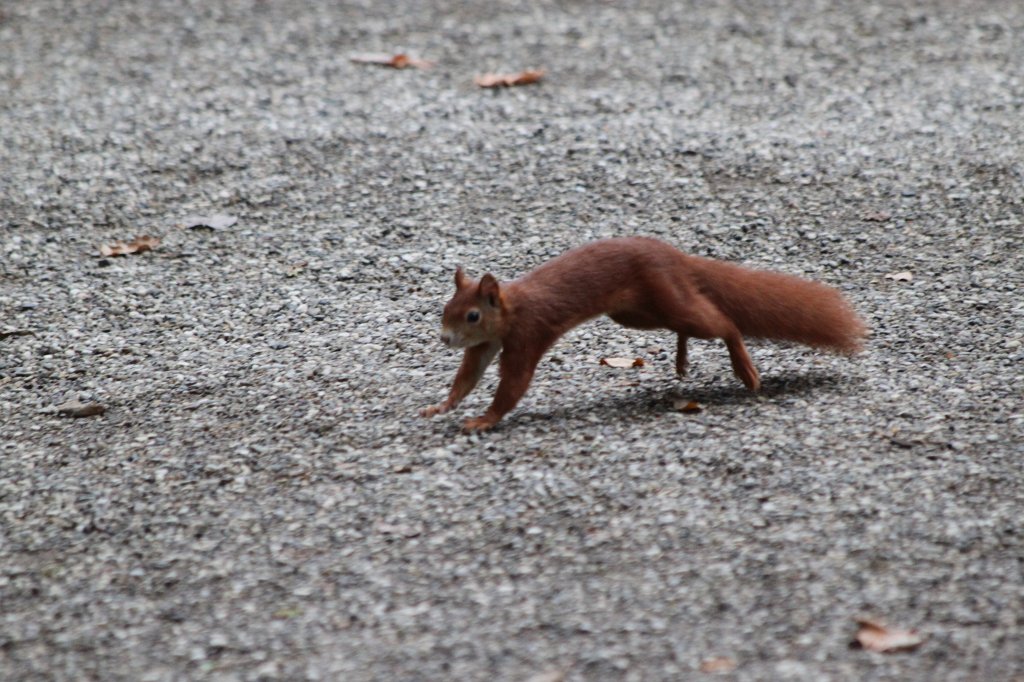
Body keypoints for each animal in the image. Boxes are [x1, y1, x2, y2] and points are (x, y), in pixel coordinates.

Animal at [421, 237, 866, 432]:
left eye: (473, 315)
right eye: (445, 310)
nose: (445, 339)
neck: (511, 310)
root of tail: (675, 256)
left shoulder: (528, 334)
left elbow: (512, 384)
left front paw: (484, 419)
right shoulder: (485, 346)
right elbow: (467, 378)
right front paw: (442, 407)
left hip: (663, 297)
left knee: (723, 324)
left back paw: (745, 368)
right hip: (638, 314)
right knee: (685, 324)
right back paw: (682, 359)